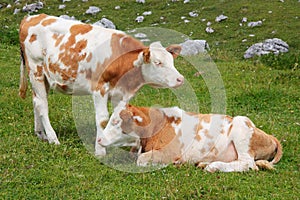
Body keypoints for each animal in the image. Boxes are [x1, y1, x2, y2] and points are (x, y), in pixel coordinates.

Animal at [19, 14, 183, 155]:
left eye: (172, 61)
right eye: (158, 62)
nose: (180, 79)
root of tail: (30, 17)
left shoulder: (122, 93)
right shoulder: (100, 88)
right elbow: (103, 119)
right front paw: (100, 151)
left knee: (36, 101)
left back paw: (41, 134)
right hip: (35, 70)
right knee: (42, 104)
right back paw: (53, 138)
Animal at [98, 102, 282, 173]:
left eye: (116, 121)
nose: (99, 140)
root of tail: (269, 135)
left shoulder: (169, 152)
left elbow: (141, 159)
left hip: (241, 128)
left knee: (248, 164)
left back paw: (213, 167)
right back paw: (204, 163)